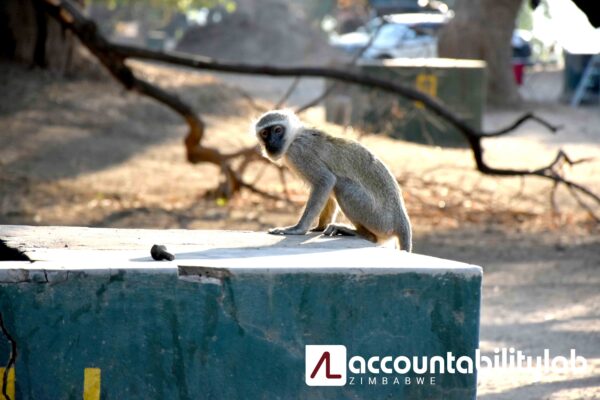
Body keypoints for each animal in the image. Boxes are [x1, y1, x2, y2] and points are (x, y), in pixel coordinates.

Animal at [253, 109, 412, 252]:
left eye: (278, 130)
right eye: (265, 133)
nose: (271, 142)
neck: (295, 137)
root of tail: (401, 221)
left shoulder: (299, 153)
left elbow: (325, 181)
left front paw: (298, 229)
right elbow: (327, 188)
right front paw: (320, 227)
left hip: (380, 222)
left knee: (342, 186)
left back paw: (364, 235)